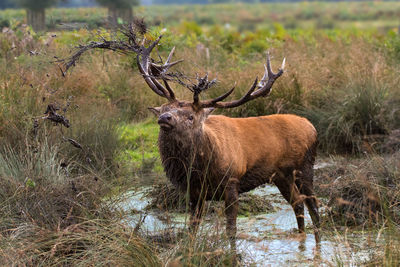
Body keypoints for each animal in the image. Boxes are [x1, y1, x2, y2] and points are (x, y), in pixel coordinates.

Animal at [136, 35, 320, 255]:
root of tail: (312, 127)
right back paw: (301, 239)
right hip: (280, 175)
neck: (199, 169)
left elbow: (231, 229)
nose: (165, 118)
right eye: (165, 108)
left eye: (190, 116)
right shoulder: (194, 192)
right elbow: (192, 228)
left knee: (313, 205)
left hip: (305, 166)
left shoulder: (232, 182)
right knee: (297, 203)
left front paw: (233, 256)